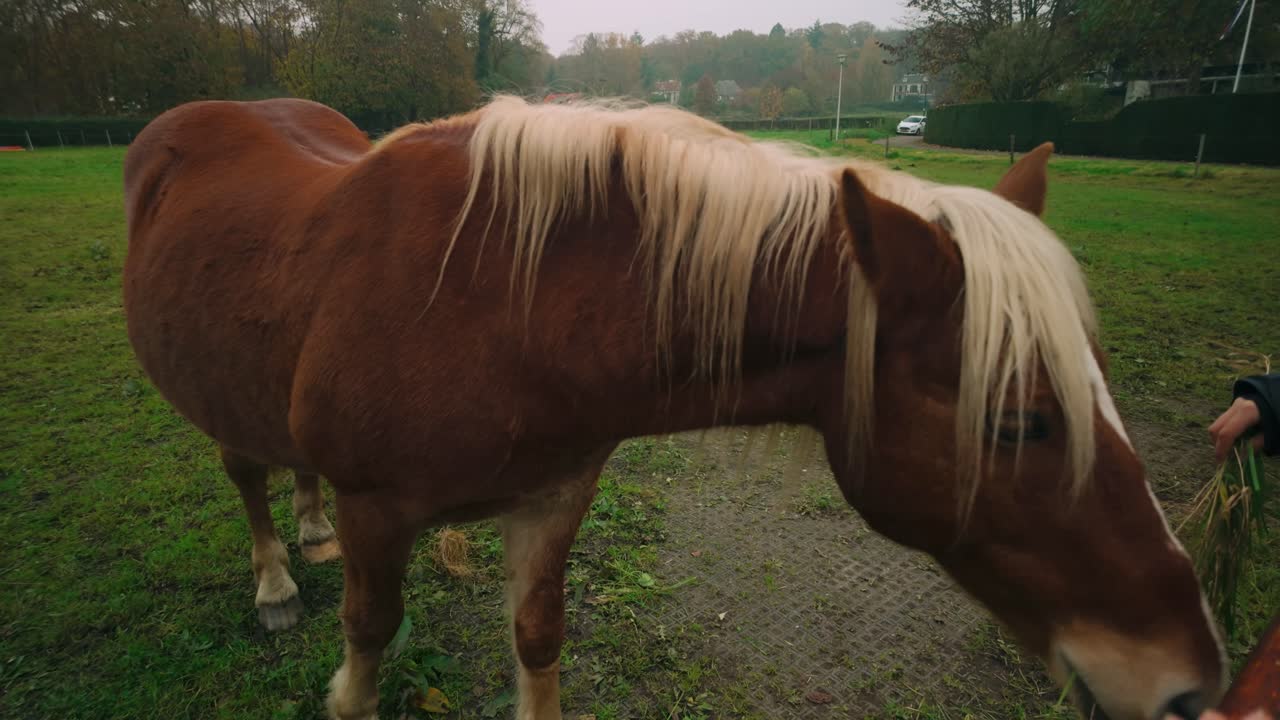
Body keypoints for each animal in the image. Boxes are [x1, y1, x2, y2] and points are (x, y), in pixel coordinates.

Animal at [122, 96, 1225, 720]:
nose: (1187, 683)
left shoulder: (553, 494)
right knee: (245, 470)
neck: (490, 303)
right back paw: (276, 575)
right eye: (1018, 422)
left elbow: (536, 641)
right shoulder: (375, 509)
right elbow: (368, 638)